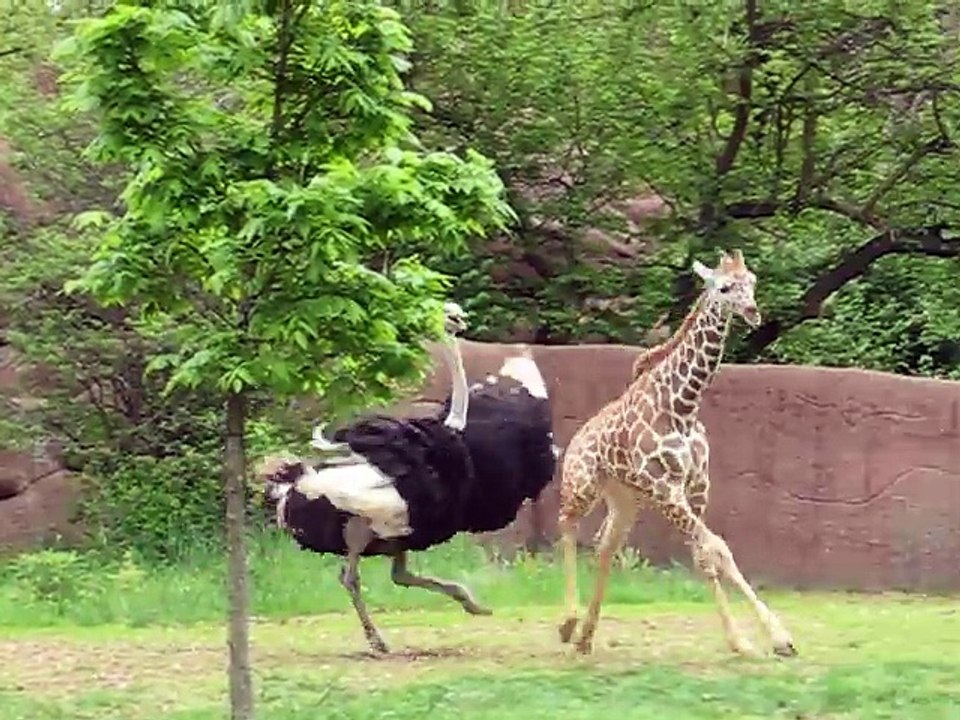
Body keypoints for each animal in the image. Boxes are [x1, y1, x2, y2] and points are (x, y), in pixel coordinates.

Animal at [556, 248, 797, 658]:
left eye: (752, 281)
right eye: (724, 287)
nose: (752, 311)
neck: (683, 407)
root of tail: (573, 442)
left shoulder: (697, 485)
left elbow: (707, 555)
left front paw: (744, 641)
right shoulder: (666, 488)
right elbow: (718, 548)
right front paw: (776, 637)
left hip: (626, 500)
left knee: (605, 547)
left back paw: (586, 637)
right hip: (584, 485)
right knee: (566, 523)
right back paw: (568, 625)